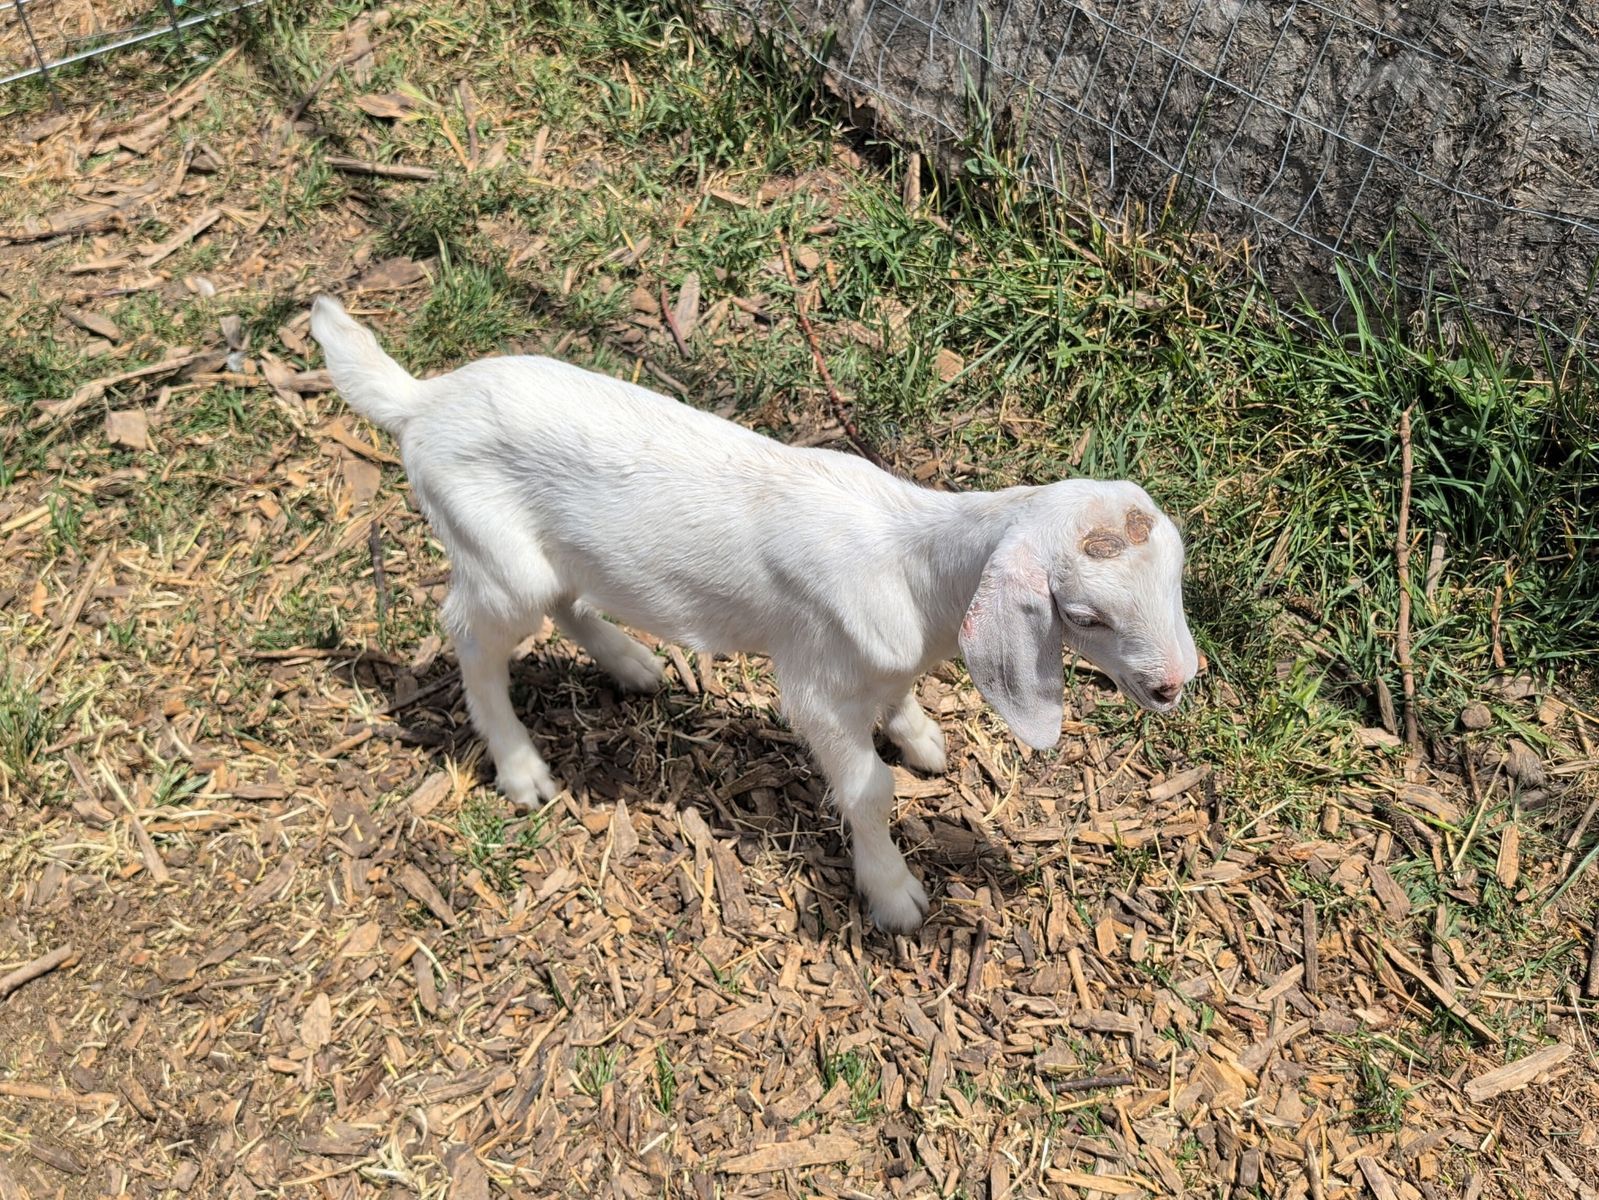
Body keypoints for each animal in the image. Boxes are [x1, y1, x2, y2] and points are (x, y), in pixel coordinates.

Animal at [309, 295, 1199, 932]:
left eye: (1177, 578)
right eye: (1082, 614)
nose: (1172, 686)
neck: (916, 572)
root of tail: (421, 401)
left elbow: (898, 706)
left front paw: (918, 735)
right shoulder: (812, 685)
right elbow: (868, 790)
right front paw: (893, 895)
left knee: (567, 600)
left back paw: (633, 665)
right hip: (495, 557)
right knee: (469, 634)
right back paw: (522, 767)